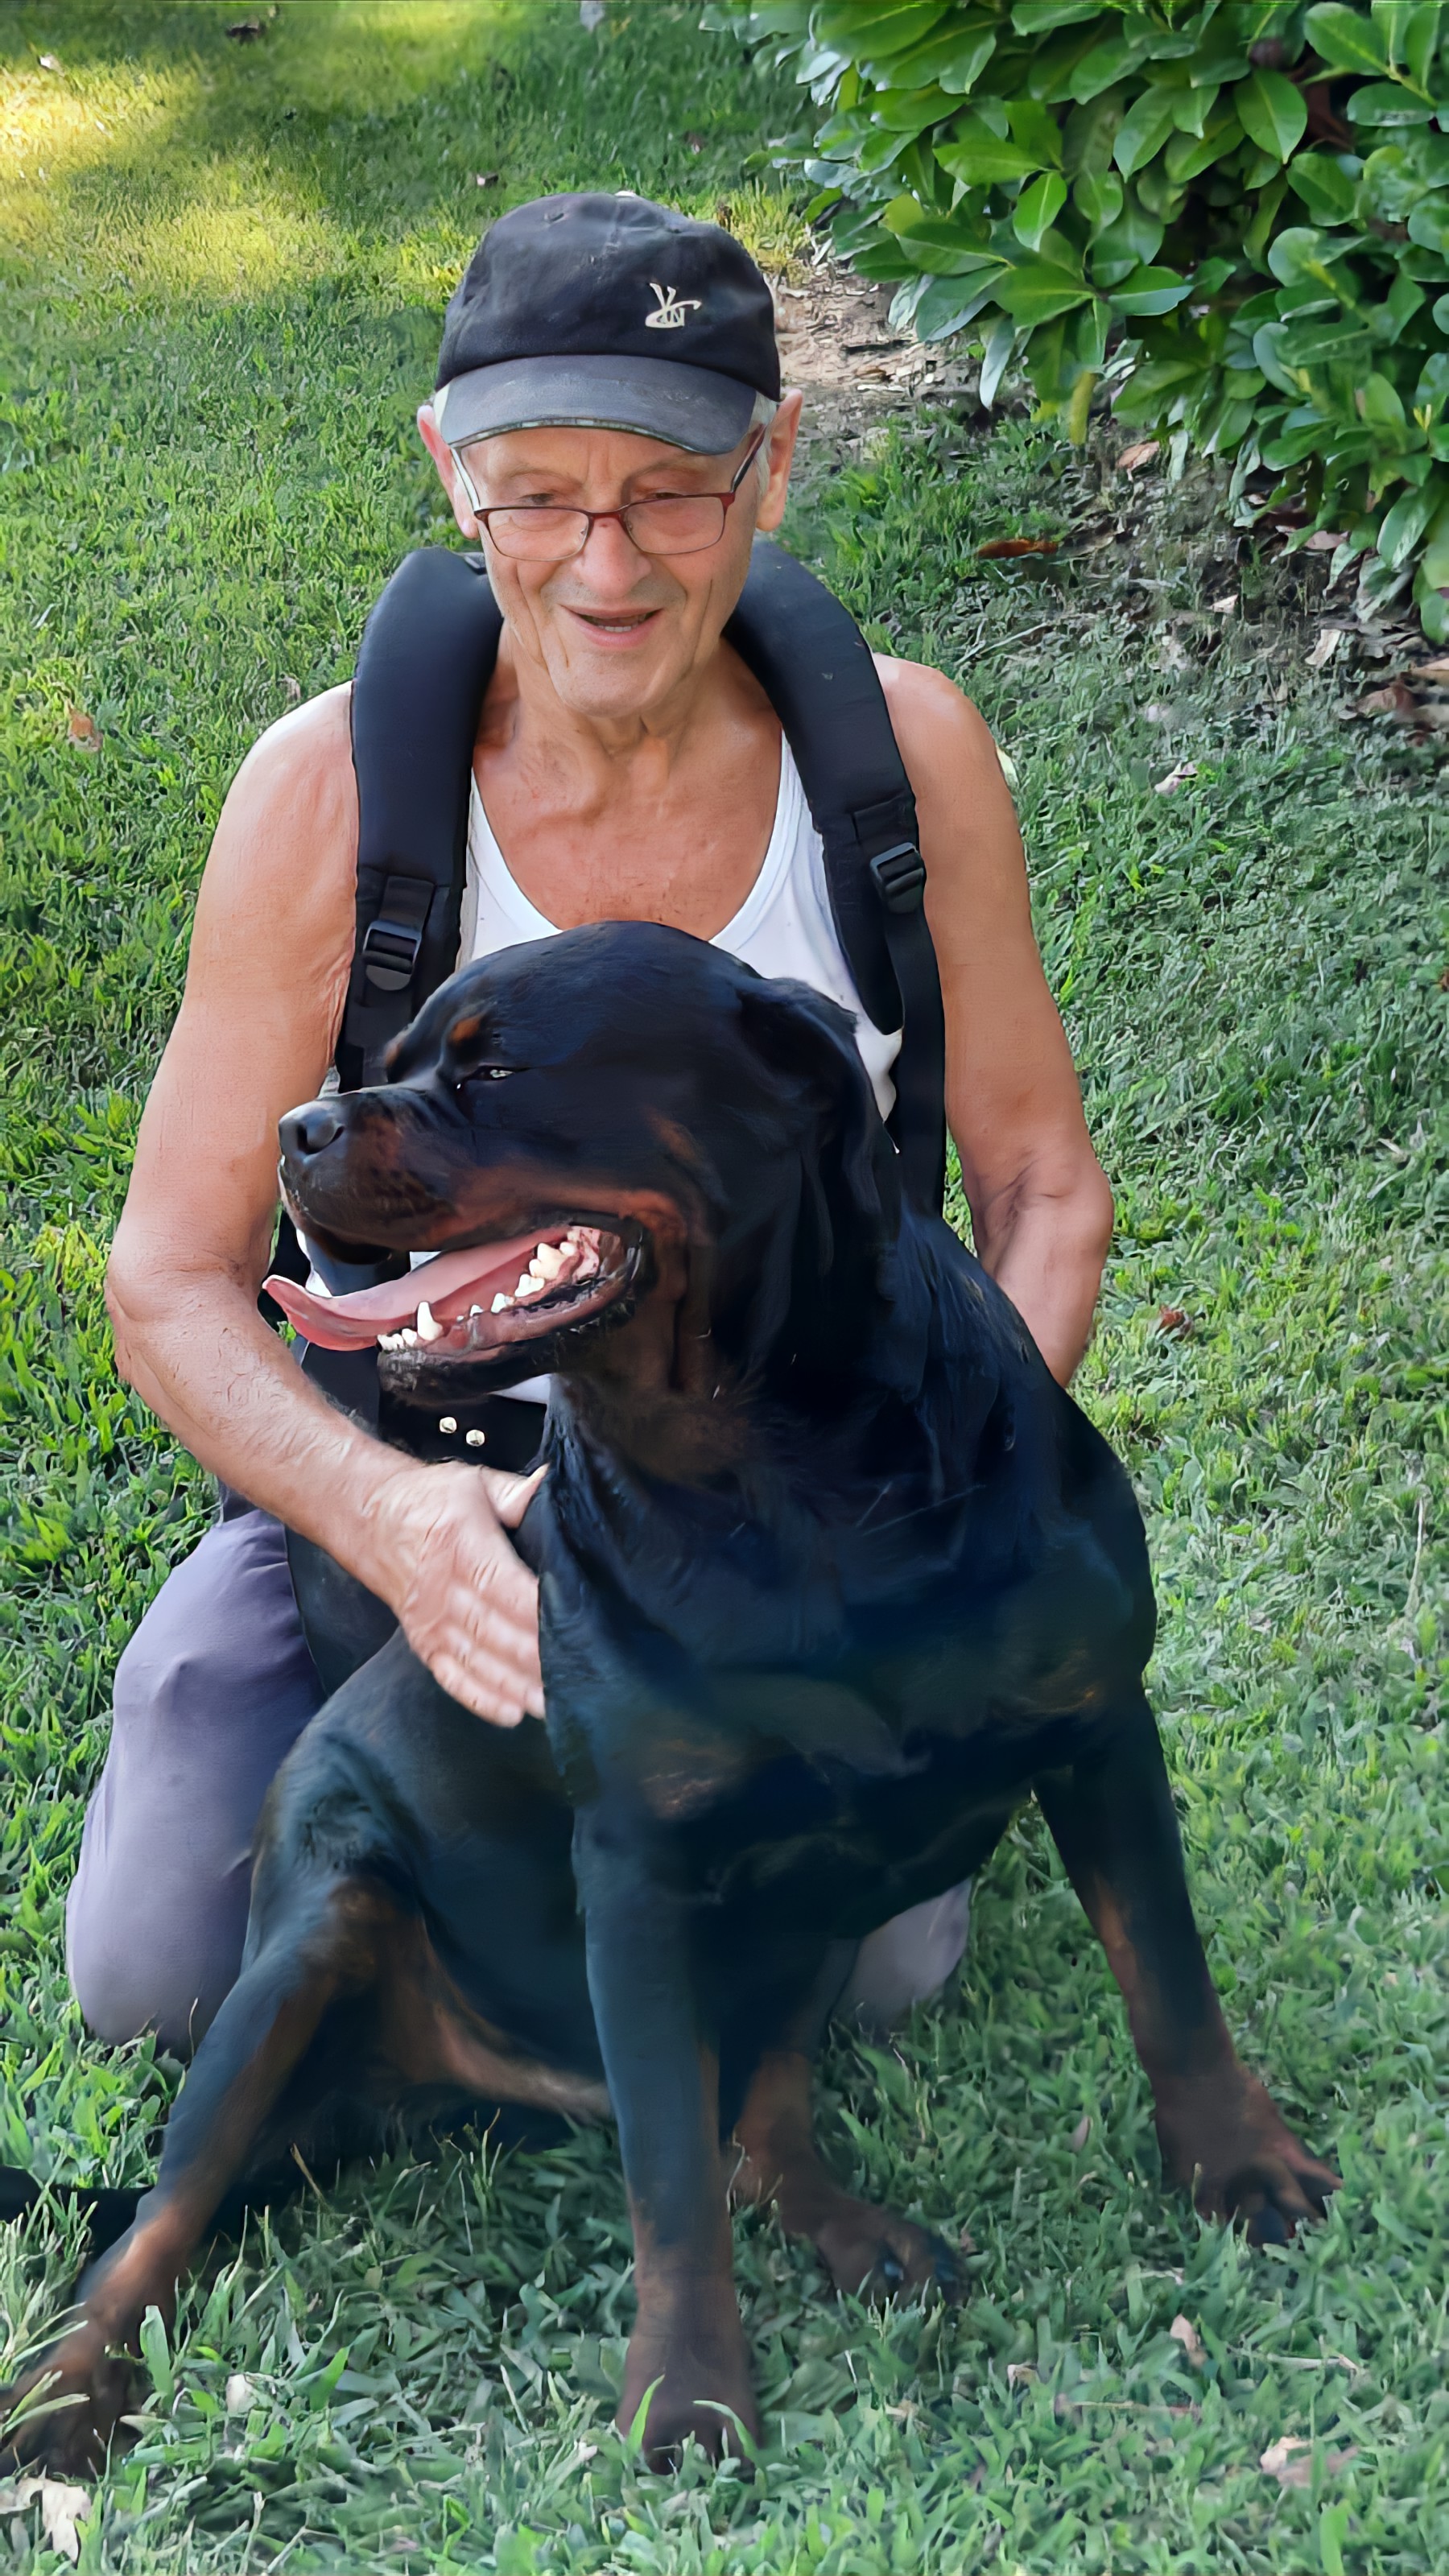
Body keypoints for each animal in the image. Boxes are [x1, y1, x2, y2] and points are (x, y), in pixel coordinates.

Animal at [1, 922, 1337, 2472]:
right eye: (385, 1061)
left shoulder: (1102, 1725)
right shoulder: (636, 1874)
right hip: (307, 1944)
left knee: (759, 2126)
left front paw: (1241, 2164)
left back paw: (854, 2233)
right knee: (159, 2216)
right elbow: (668, 2180)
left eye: (494, 1071)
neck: (782, 1473)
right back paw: (64, 2392)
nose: (297, 1127)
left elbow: (1168, 1979)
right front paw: (692, 2391)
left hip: (801, 1925)